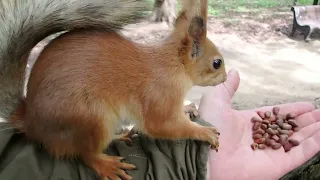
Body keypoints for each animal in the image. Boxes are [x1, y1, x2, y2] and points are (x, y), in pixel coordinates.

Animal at [1, 0, 228, 180]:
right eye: (217, 63)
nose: (225, 78)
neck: (175, 65)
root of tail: (32, 123)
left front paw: (188, 108)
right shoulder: (161, 94)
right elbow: (162, 125)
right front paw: (204, 132)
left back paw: (119, 137)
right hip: (91, 118)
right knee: (86, 154)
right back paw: (106, 165)